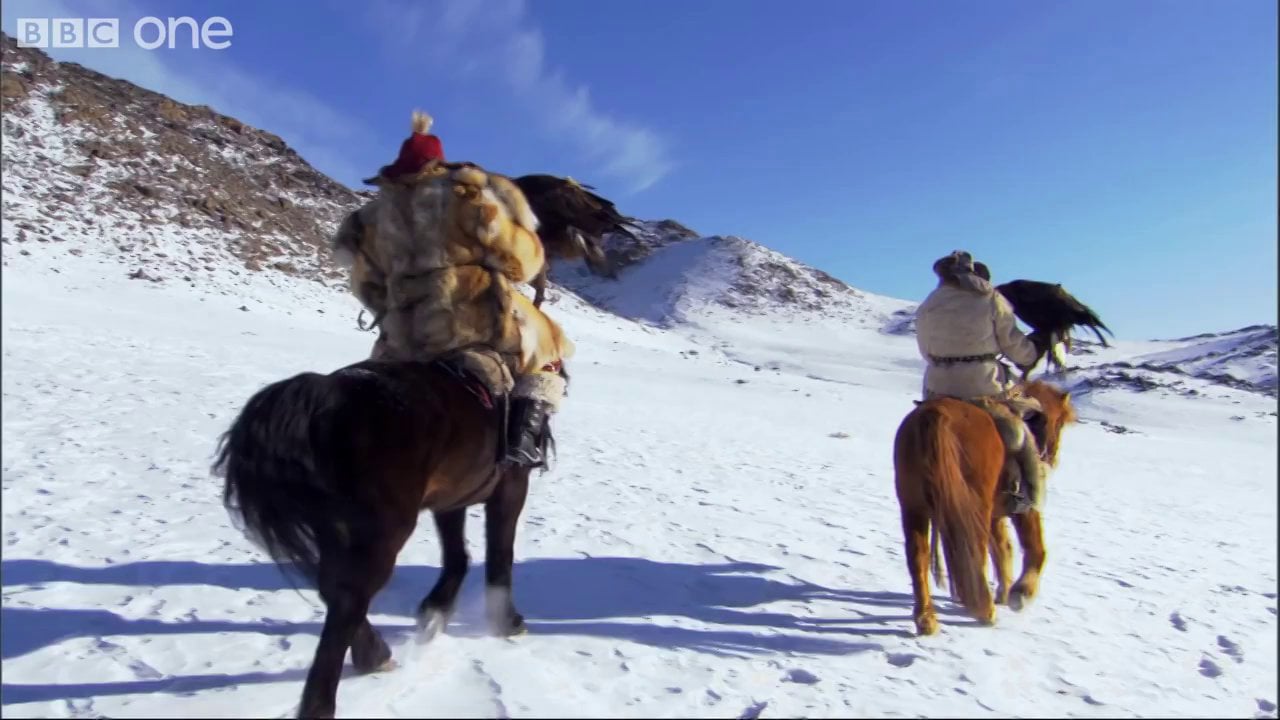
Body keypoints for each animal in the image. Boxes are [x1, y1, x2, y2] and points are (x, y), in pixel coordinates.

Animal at [211, 356, 555, 712]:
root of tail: (327, 394)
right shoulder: (511, 486)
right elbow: (500, 555)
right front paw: (507, 622)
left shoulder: (451, 496)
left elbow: (456, 554)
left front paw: (435, 612)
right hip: (383, 531)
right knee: (349, 598)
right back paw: (323, 701)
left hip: (336, 528)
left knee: (333, 587)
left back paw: (375, 655)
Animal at [896, 379, 1075, 630]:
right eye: (1058, 423)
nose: (1051, 458)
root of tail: (934, 415)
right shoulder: (1023, 508)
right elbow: (1035, 548)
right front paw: (1020, 594)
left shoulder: (995, 516)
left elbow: (1002, 548)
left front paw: (1005, 591)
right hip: (973, 508)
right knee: (974, 551)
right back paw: (985, 611)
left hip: (913, 507)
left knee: (917, 556)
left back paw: (927, 620)